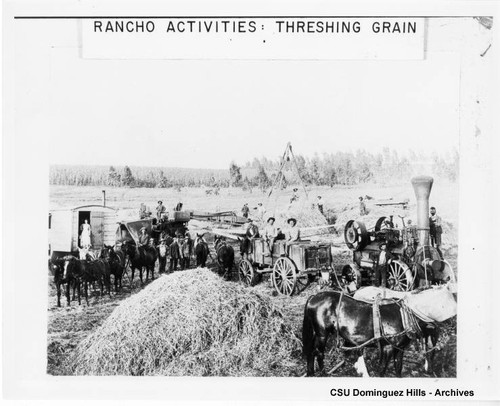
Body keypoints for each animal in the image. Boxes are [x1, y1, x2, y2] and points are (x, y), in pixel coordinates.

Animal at [300, 282, 458, 378]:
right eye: (454, 296)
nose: (430, 371)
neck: (405, 314)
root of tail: (313, 297)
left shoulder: (399, 348)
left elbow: (398, 368)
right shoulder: (387, 347)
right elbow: (382, 369)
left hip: (316, 334)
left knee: (311, 352)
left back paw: (311, 373)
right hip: (322, 334)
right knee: (318, 353)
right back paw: (323, 373)